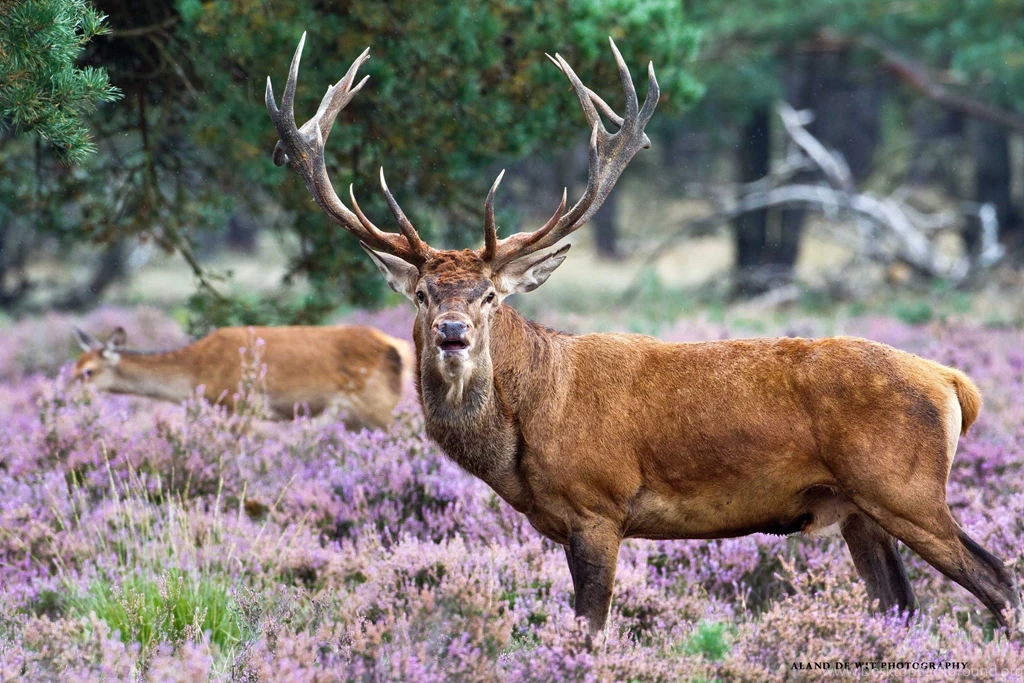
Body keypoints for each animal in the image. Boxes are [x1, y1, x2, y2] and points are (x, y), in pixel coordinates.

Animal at [72, 324, 412, 430]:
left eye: (88, 372)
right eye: (74, 367)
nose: (67, 399)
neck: (196, 373)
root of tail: (399, 348)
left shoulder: (241, 402)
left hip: (380, 405)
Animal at [265, 33, 1021, 634]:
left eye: (489, 296)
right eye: (422, 294)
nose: (452, 333)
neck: (524, 432)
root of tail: (955, 384)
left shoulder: (598, 505)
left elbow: (591, 625)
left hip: (906, 487)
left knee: (999, 578)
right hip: (861, 508)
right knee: (901, 603)